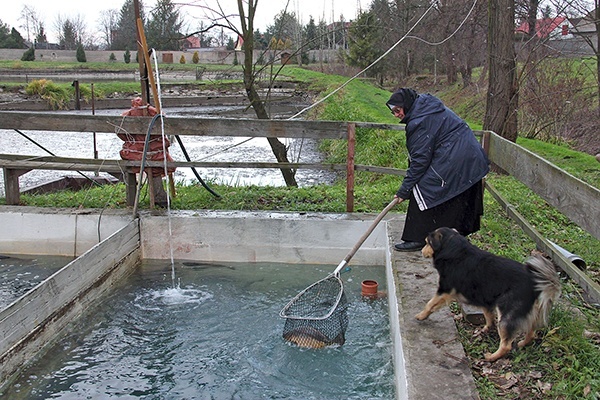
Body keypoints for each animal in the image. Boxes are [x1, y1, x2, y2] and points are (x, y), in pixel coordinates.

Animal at [414, 227, 560, 360]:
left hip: (506, 314)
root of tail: (535, 282)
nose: (421, 251)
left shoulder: (445, 290)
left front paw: (421, 316)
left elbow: (430, 304)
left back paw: (492, 357)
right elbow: (488, 314)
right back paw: (521, 343)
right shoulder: (485, 297)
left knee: (506, 345)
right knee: (531, 332)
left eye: (427, 242)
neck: (454, 249)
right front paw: (487, 328)